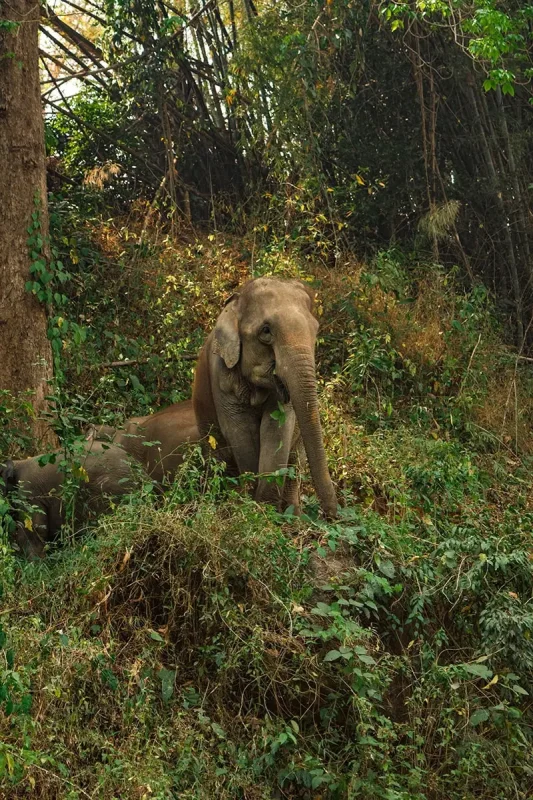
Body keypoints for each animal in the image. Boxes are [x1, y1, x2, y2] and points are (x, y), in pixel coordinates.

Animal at [192, 277, 338, 517]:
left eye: (315, 330)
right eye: (266, 331)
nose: (331, 516)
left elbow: (277, 428)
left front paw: (265, 508)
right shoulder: (221, 375)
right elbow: (240, 430)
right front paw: (254, 508)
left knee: (295, 460)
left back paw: (294, 517)